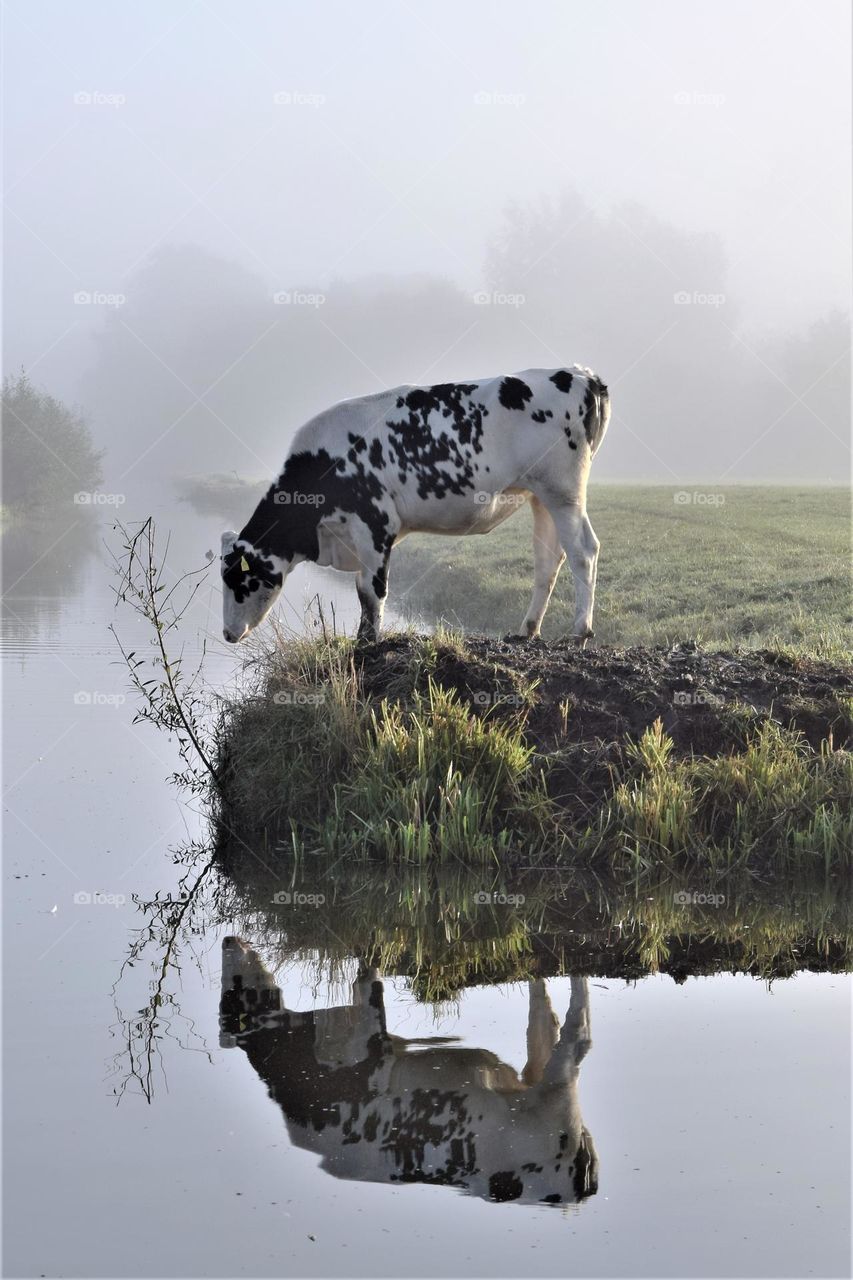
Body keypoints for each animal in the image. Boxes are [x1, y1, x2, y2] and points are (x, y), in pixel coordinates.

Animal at [216, 936, 594, 1203]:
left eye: (234, 989)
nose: (227, 940)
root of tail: (579, 1192)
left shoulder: (371, 1046)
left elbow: (369, 976)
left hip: (558, 1095)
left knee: (577, 1035)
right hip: (536, 1078)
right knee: (546, 1020)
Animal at [219, 366, 604, 645]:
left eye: (240, 580)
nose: (227, 633)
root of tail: (579, 373)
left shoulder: (375, 523)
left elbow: (371, 591)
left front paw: (369, 643)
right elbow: (363, 589)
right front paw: (363, 639)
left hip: (564, 491)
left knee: (583, 551)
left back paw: (579, 632)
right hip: (542, 496)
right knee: (548, 559)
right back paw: (527, 630)